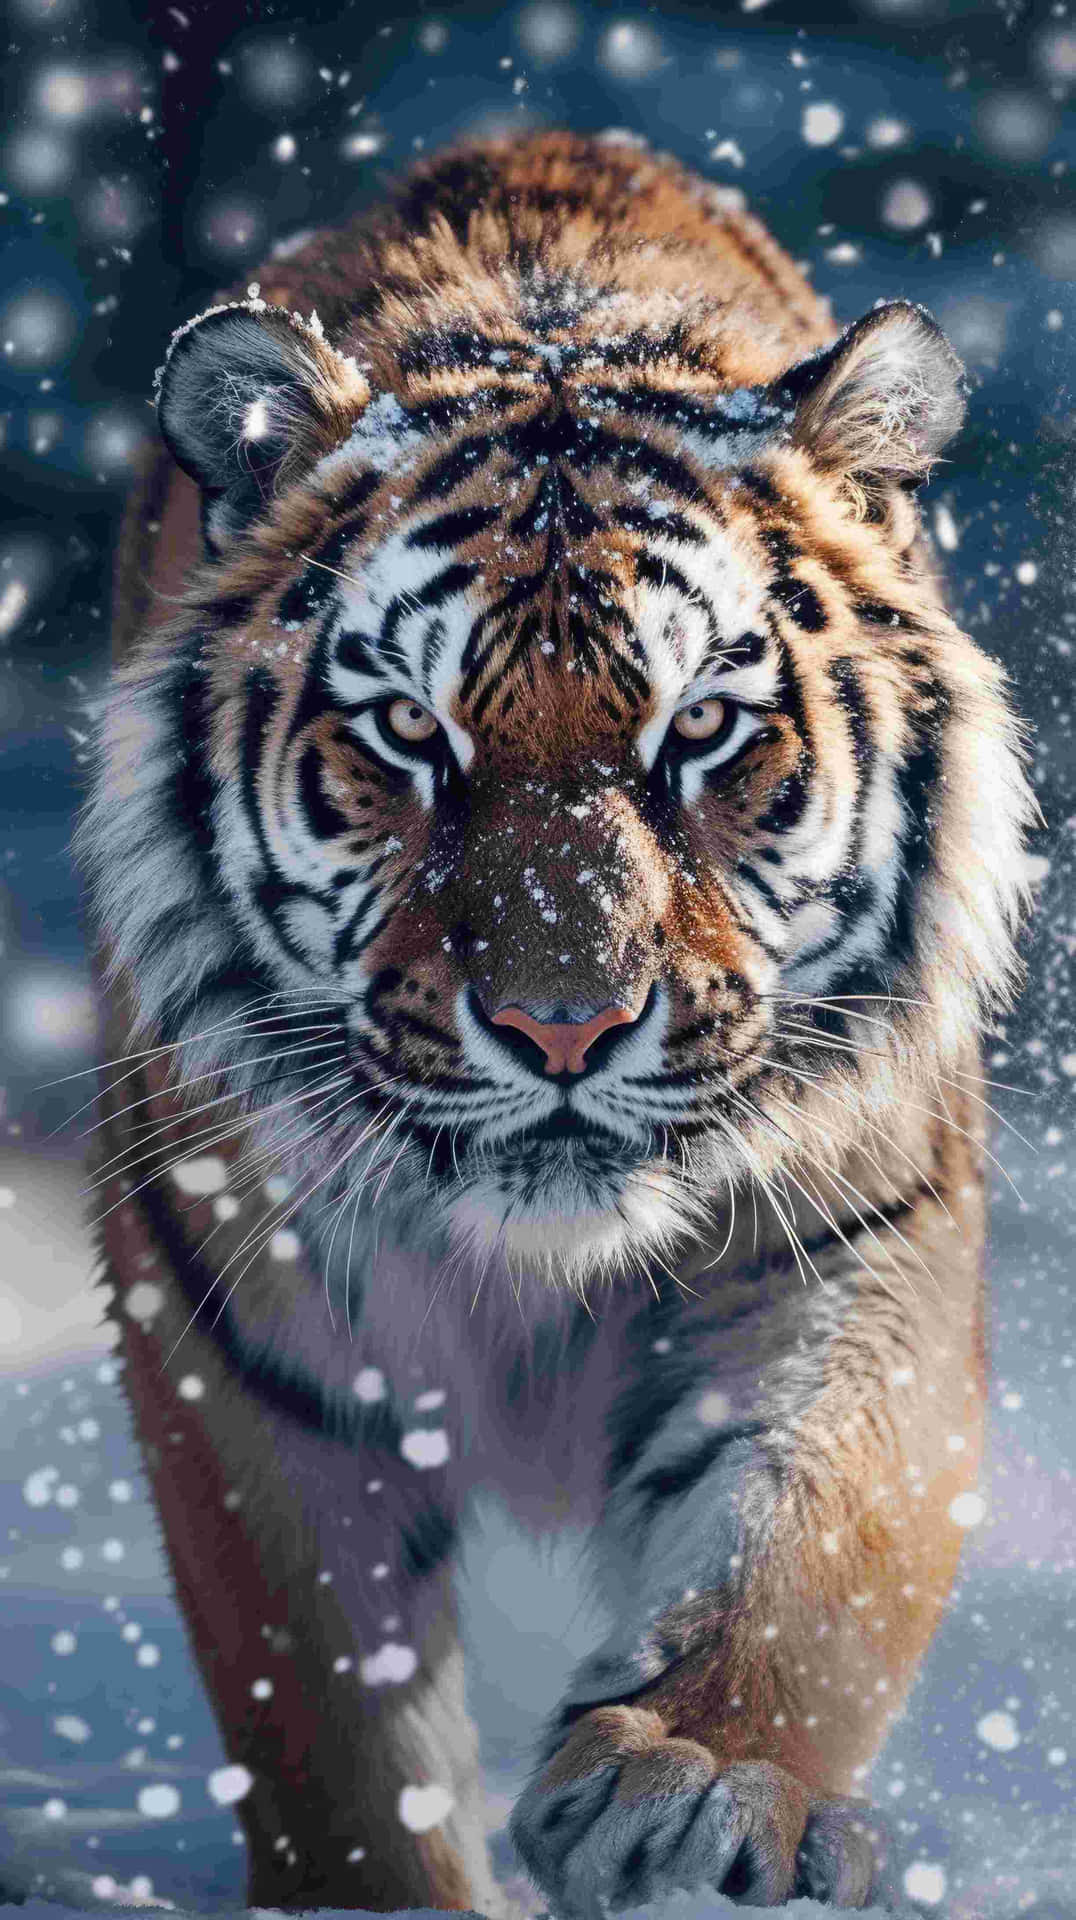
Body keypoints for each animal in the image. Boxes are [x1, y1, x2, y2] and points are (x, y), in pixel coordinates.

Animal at [80, 130, 1034, 1914]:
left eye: (703, 731)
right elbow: (328, 1714)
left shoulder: (859, 1227)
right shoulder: (240, 1322)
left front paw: (694, 1781)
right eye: (410, 734)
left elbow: (824, 1538)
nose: (565, 1029)